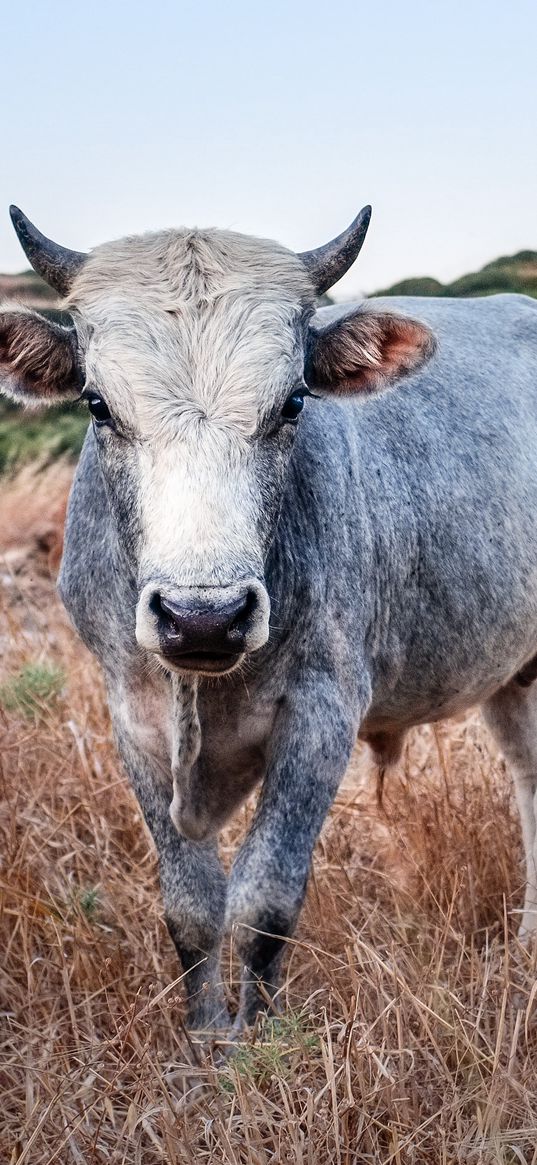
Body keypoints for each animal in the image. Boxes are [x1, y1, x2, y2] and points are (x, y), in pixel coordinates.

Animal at [3, 202, 535, 1039]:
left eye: (291, 403)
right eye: (97, 404)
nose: (203, 618)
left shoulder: (321, 713)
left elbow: (262, 900)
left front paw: (256, 1042)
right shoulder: (133, 720)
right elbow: (191, 905)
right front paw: (204, 1042)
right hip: (512, 676)